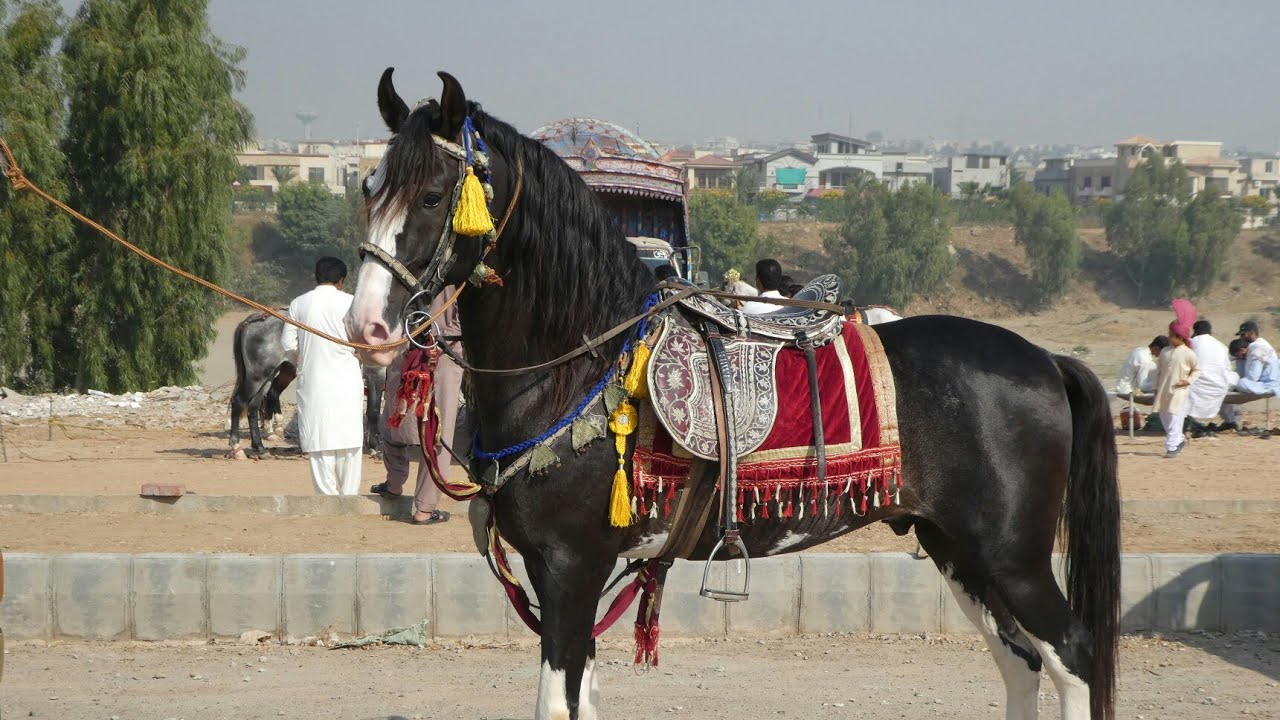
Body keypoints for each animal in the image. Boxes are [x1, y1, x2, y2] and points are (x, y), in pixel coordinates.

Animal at [229, 311, 386, 458]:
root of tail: (253, 320)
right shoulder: (376, 373)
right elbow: (374, 412)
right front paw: (375, 447)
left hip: (268, 376)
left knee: (255, 406)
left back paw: (260, 447)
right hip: (257, 377)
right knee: (239, 402)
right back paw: (237, 447)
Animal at [343, 69, 1120, 720]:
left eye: (434, 194)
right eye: (368, 188)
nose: (366, 325)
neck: (581, 361)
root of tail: (1044, 359)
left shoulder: (569, 569)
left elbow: (556, 704)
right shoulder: (564, 578)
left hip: (1013, 559)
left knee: (1073, 658)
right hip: (958, 549)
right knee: (1021, 665)